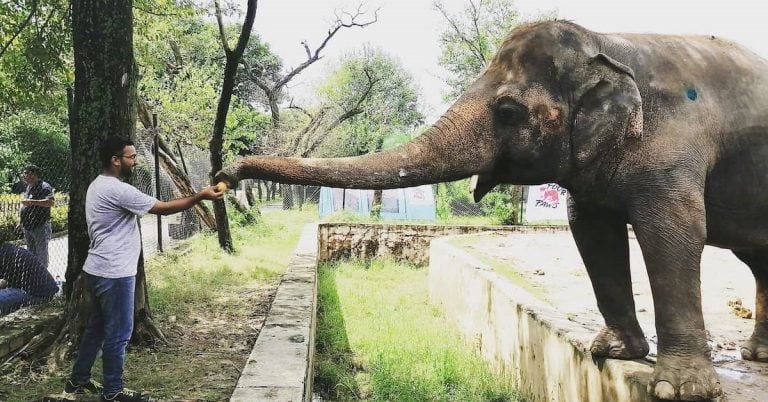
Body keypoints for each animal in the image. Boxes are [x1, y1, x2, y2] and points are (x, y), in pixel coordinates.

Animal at [218, 21, 768, 398]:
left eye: (507, 112)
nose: (225, 174)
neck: (607, 42)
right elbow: (591, 230)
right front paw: (610, 352)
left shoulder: (675, 154)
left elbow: (672, 231)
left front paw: (680, 390)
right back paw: (758, 355)